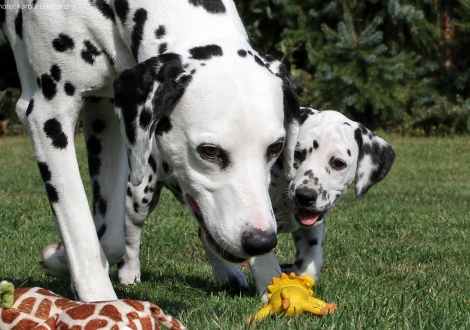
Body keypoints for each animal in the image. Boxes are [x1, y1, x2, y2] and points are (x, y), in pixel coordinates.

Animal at [0, 0, 302, 302]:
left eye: (275, 147)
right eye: (210, 151)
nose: (261, 241)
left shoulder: (106, 110)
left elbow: (109, 238)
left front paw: (61, 258)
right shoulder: (49, 117)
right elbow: (79, 228)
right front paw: (98, 299)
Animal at [116, 107, 392, 298]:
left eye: (338, 163)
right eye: (298, 154)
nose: (305, 194)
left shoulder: (312, 221)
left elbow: (312, 262)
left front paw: (296, 274)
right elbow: (264, 257)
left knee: (207, 236)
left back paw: (229, 277)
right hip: (141, 193)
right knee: (132, 232)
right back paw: (129, 273)